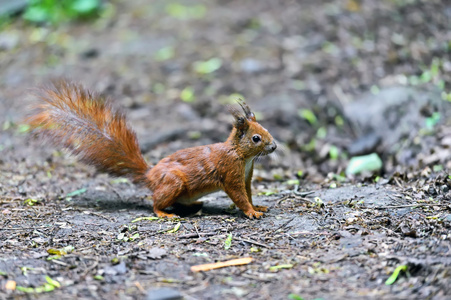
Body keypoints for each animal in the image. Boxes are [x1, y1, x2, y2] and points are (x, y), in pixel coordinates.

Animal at [28, 81, 278, 219]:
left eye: (267, 129)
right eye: (256, 138)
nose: (274, 146)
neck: (242, 156)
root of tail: (150, 176)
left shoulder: (246, 176)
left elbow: (248, 193)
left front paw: (258, 206)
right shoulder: (230, 172)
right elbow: (239, 196)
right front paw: (251, 212)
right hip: (173, 183)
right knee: (155, 202)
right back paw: (164, 213)